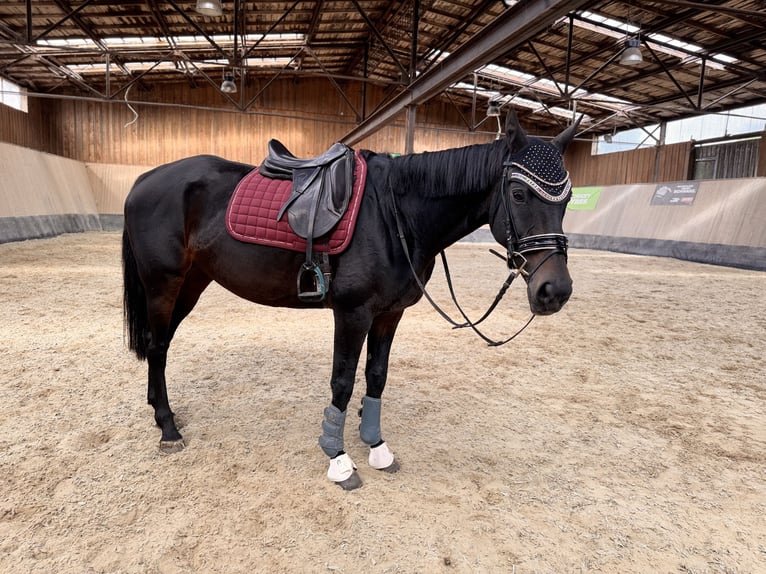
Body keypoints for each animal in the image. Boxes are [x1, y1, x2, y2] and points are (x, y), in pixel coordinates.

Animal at [123, 111, 580, 490]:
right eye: (519, 194)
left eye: (569, 198)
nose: (555, 291)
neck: (396, 216)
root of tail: (145, 180)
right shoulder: (353, 313)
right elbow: (342, 381)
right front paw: (338, 457)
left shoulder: (389, 315)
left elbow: (376, 375)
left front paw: (376, 445)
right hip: (163, 284)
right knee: (157, 346)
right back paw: (168, 428)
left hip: (193, 283)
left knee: (161, 345)